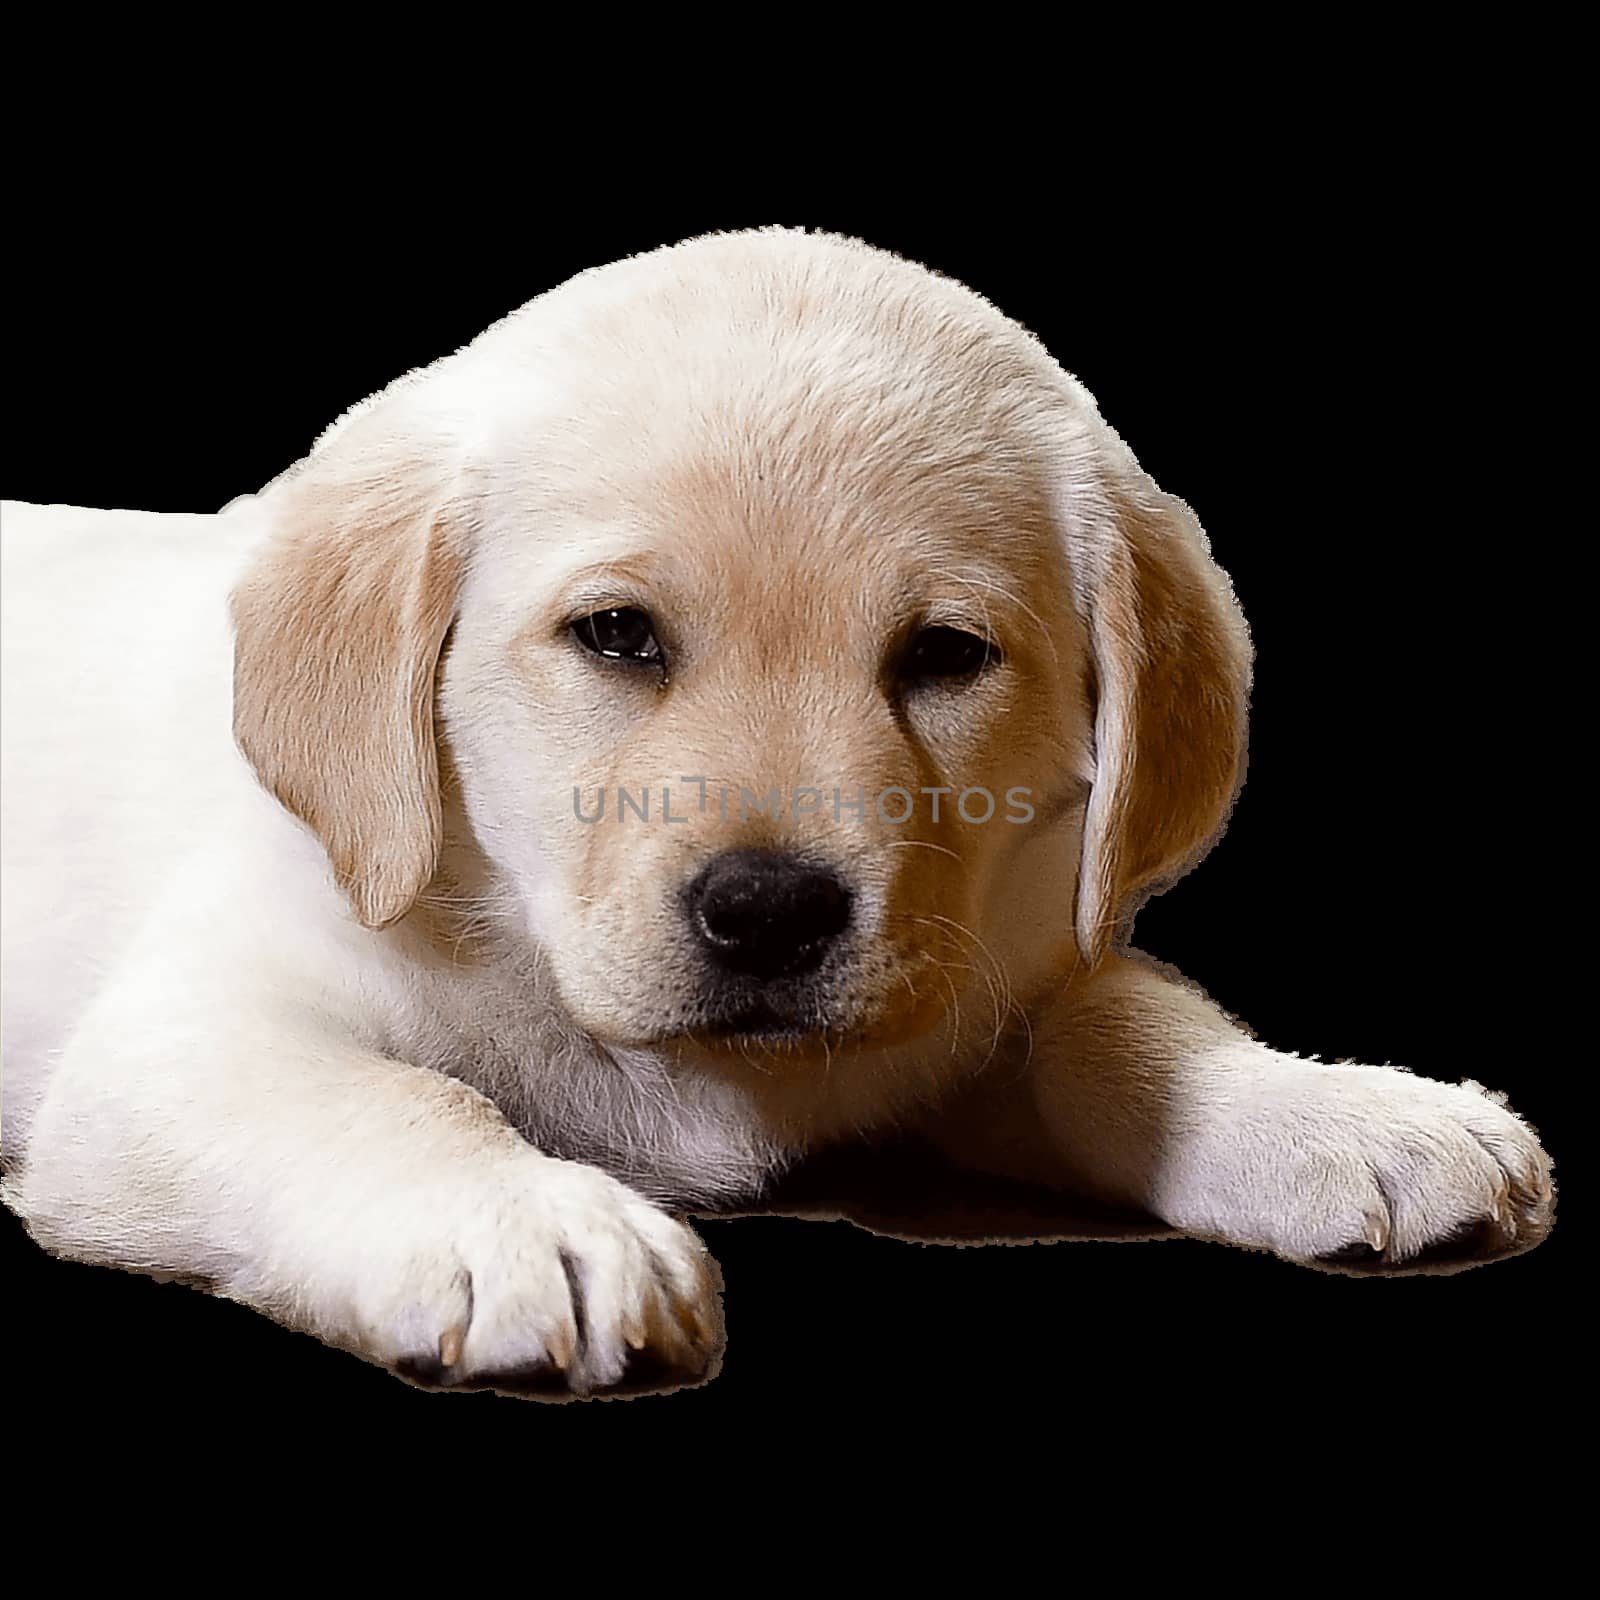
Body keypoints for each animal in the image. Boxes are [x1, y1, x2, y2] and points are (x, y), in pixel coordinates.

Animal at [0, 232, 1548, 1395]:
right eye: (616, 634)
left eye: (945, 654)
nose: (769, 911)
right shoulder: (189, 1035)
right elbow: (388, 1092)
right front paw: (525, 1223)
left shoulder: (998, 947)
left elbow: (1124, 1016)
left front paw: (1332, 1107)